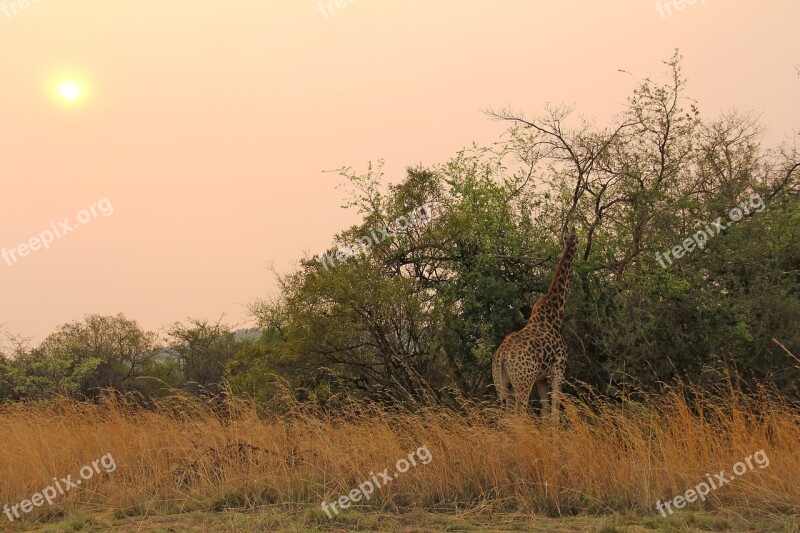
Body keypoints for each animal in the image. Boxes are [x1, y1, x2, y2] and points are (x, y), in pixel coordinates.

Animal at [490, 231, 580, 414]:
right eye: (578, 240)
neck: (554, 314)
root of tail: (501, 356)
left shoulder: (541, 378)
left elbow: (545, 411)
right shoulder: (559, 370)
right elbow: (554, 411)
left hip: (501, 384)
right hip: (523, 382)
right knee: (519, 414)